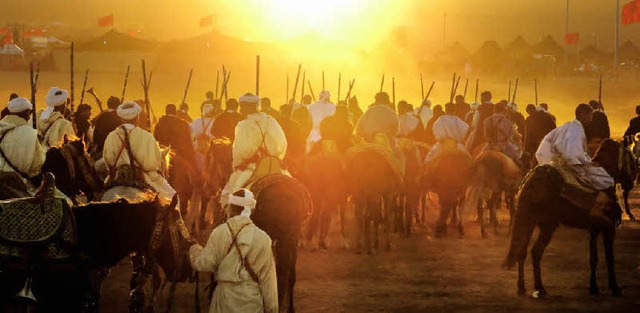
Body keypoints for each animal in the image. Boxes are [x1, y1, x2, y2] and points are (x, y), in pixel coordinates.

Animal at [502, 138, 628, 298]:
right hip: (546, 224)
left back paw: (522, 288)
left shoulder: (594, 228)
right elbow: (609, 257)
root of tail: (530, 181)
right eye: (630, 157)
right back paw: (539, 288)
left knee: (522, 250)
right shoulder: (609, 226)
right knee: (535, 251)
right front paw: (615, 288)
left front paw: (593, 287)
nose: (630, 182)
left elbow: (594, 258)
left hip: (529, 221)